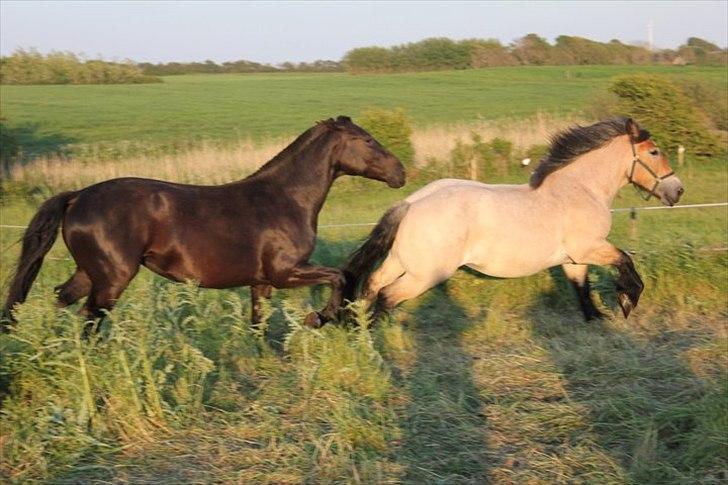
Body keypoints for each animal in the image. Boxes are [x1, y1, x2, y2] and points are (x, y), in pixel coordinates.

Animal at [2, 115, 406, 330]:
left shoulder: (261, 282)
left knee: (62, 300)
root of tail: (77, 196)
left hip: (90, 272)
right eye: (367, 141)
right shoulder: (285, 272)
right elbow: (339, 277)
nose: (400, 172)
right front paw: (320, 318)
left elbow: (257, 323)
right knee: (89, 315)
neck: (285, 199)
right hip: (113, 277)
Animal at [344, 117, 684, 322]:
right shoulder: (590, 248)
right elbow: (625, 260)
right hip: (424, 275)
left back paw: (360, 329)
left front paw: (596, 319)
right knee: (388, 296)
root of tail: (411, 204)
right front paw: (627, 301)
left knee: (372, 285)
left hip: (401, 261)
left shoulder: (574, 260)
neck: (581, 189)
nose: (677, 190)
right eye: (654, 152)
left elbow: (582, 289)